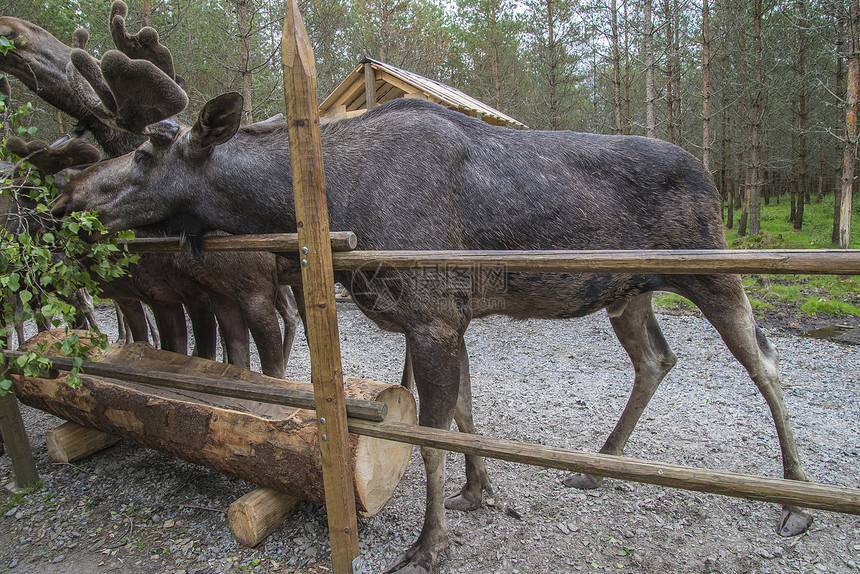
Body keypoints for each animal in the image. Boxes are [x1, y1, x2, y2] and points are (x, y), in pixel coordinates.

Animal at [57, 9, 816, 574]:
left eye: (148, 150)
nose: (67, 200)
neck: (336, 199)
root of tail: (710, 174)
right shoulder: (451, 316)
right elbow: (465, 419)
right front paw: (480, 492)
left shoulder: (431, 317)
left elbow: (428, 437)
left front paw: (430, 543)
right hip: (627, 292)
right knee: (656, 359)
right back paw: (599, 466)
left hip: (711, 267)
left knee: (765, 361)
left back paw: (798, 500)